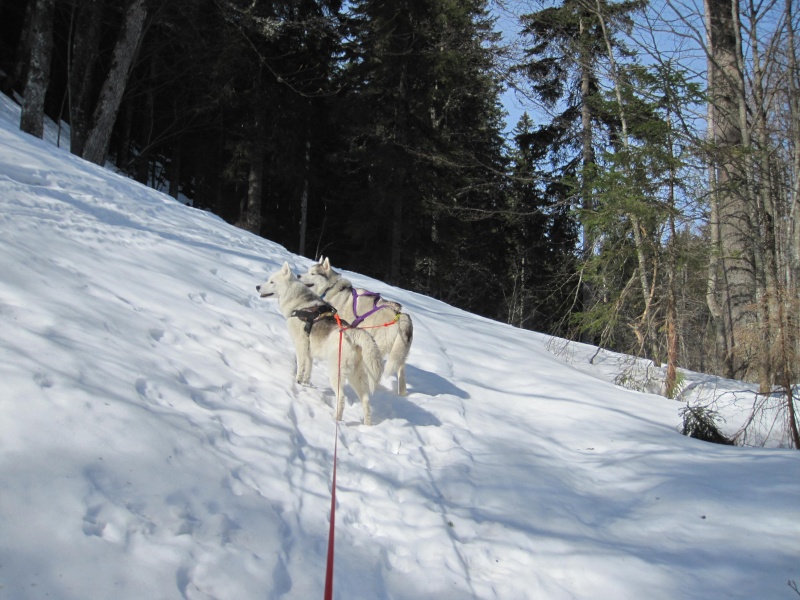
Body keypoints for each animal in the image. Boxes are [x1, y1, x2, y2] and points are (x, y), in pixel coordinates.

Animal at [256, 260, 382, 424]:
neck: (299, 303)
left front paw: (297, 382)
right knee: (366, 401)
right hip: (357, 377)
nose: (257, 287)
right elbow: (308, 370)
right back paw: (367, 425)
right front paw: (305, 384)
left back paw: (336, 419)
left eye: (271, 282)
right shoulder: (309, 352)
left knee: (341, 397)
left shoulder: (301, 345)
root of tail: (353, 333)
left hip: (336, 373)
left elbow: (301, 367)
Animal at [298, 256, 412, 394]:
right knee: (401, 372)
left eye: (313, 274)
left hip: (378, 346)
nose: (298, 275)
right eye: (308, 271)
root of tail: (399, 315)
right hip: (398, 354)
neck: (331, 289)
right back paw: (402, 394)